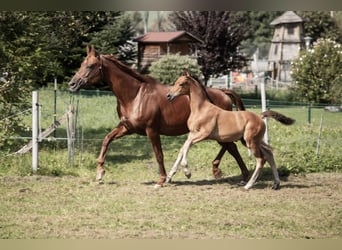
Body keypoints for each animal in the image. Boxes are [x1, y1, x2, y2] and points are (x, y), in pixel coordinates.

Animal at [68, 45, 248, 187]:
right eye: (82, 64)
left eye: (91, 66)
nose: (72, 84)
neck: (135, 95)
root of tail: (222, 92)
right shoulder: (127, 128)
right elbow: (106, 139)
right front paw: (100, 173)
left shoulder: (152, 131)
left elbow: (159, 154)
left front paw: (162, 179)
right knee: (231, 147)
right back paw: (227, 172)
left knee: (231, 147)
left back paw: (233, 173)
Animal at [166, 70, 294, 189]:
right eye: (175, 82)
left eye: (181, 84)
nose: (168, 96)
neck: (201, 109)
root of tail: (259, 116)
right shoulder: (192, 134)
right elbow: (183, 149)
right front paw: (170, 176)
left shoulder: (204, 134)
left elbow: (187, 145)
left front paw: (187, 172)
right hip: (252, 140)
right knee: (269, 153)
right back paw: (276, 184)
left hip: (250, 141)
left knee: (261, 159)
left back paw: (248, 185)